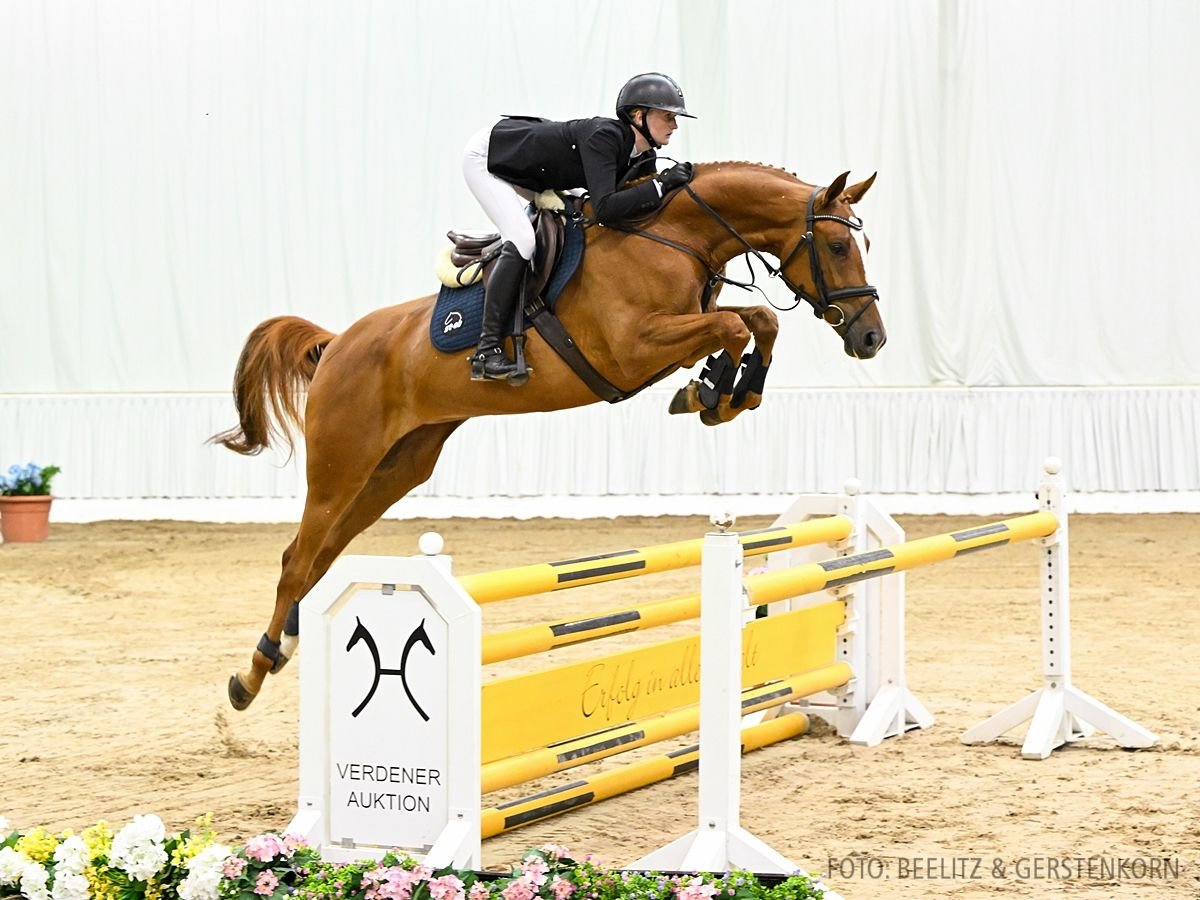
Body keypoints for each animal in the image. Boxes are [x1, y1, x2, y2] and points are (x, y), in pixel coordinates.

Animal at [211, 162, 888, 710]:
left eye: (863, 242)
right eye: (836, 244)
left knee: (325, 554)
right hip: (342, 463)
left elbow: (756, 320)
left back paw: (280, 647)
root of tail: (335, 345)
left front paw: (721, 393)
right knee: (298, 559)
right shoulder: (634, 348)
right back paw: (252, 675)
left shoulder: (675, 331)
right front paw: (714, 391)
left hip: (397, 466)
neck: (676, 234)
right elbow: (738, 323)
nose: (871, 338)